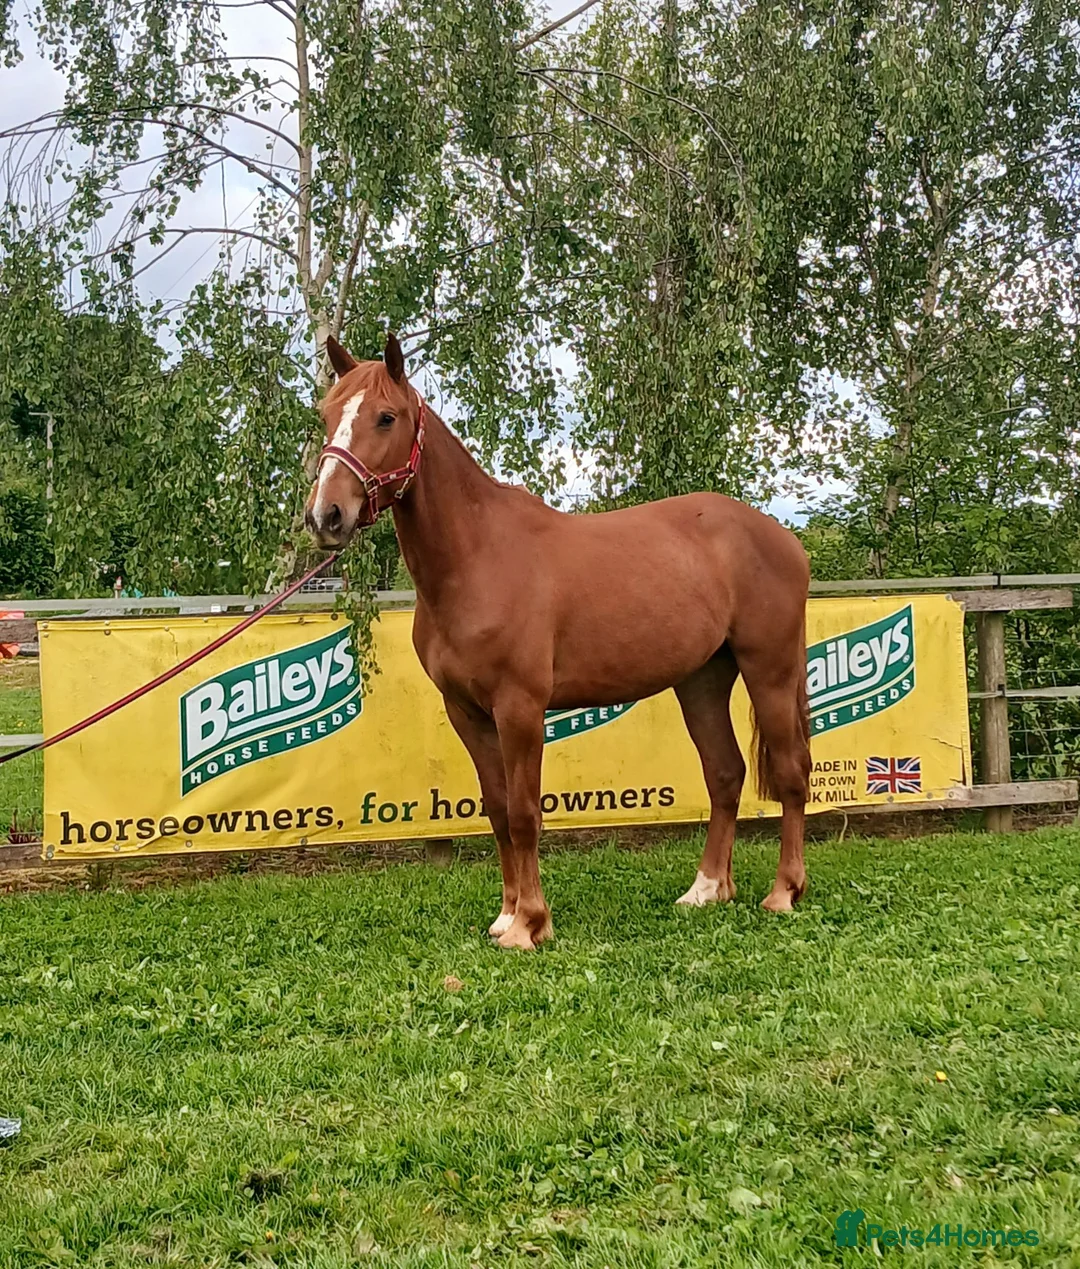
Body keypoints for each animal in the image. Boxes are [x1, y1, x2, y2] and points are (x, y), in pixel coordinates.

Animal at [305, 334, 812, 949]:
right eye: (327, 415)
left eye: (386, 417)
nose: (326, 515)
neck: (477, 559)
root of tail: (782, 537)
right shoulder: (467, 713)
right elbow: (499, 812)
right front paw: (505, 915)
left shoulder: (520, 709)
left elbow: (525, 813)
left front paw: (530, 924)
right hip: (703, 680)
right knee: (724, 773)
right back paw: (707, 889)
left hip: (770, 670)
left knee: (791, 773)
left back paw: (784, 893)